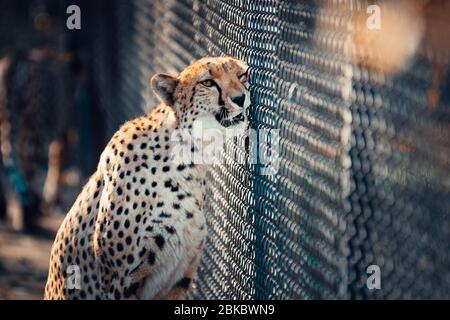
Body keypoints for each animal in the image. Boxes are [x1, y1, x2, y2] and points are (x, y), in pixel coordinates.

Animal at [43, 57, 250, 300]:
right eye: (207, 82)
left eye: (242, 75)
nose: (240, 98)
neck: (190, 161)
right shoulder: (120, 280)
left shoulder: (180, 278)